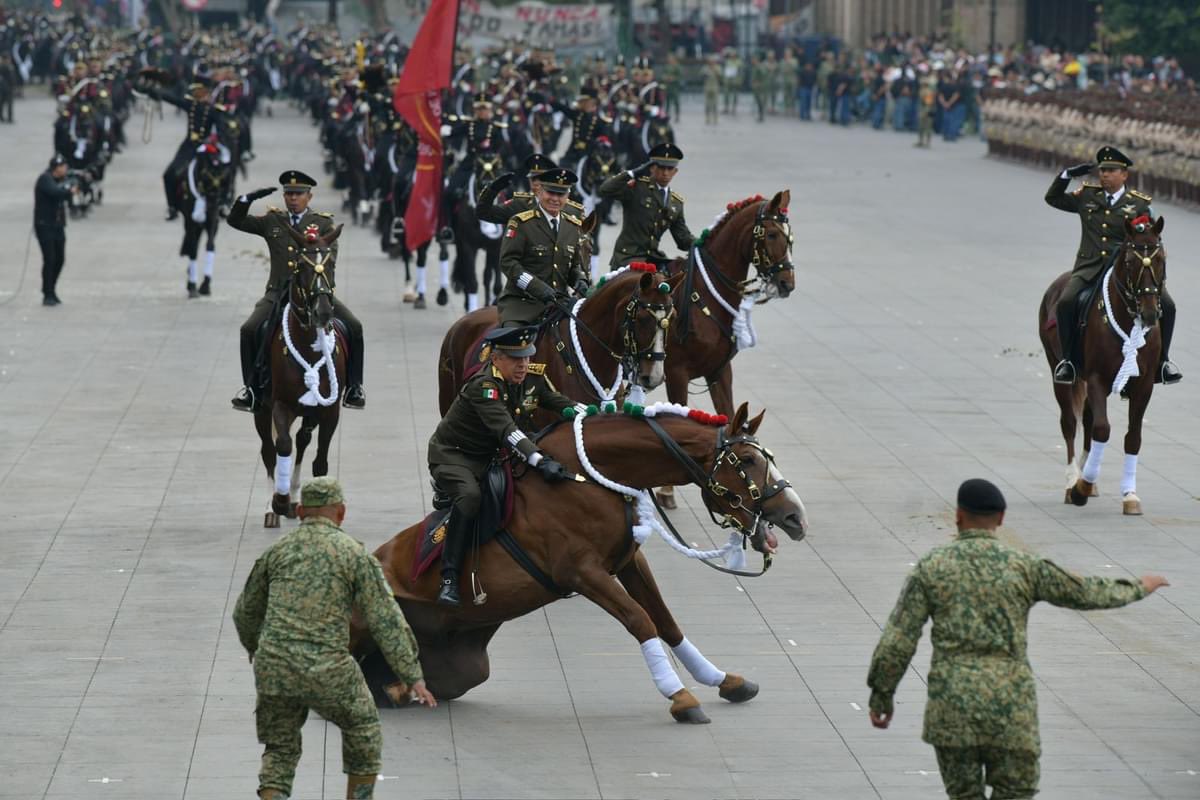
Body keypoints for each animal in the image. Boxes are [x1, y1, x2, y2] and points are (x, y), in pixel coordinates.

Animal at [253, 224, 348, 532]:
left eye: (331, 263)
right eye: (301, 267)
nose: (323, 311)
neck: (308, 343)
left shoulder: (330, 411)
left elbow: (320, 461)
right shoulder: (280, 405)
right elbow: (282, 445)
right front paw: (280, 501)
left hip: (311, 411)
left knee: (304, 440)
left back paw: (295, 495)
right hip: (262, 410)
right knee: (269, 450)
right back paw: (273, 505)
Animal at [350, 402, 811, 724]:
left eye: (766, 457)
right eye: (747, 461)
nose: (795, 517)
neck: (588, 478)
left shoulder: (628, 561)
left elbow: (666, 621)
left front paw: (721, 679)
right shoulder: (581, 572)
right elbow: (640, 620)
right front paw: (679, 696)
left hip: (465, 668)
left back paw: (398, 688)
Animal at [1036, 214, 1166, 513]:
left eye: (1161, 259)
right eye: (1129, 262)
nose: (1150, 313)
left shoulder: (1144, 385)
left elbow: (1133, 437)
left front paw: (1129, 495)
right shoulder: (1097, 379)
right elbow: (1102, 429)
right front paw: (1080, 489)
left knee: (1086, 418)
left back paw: (1087, 477)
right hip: (1060, 370)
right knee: (1070, 423)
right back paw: (1073, 480)